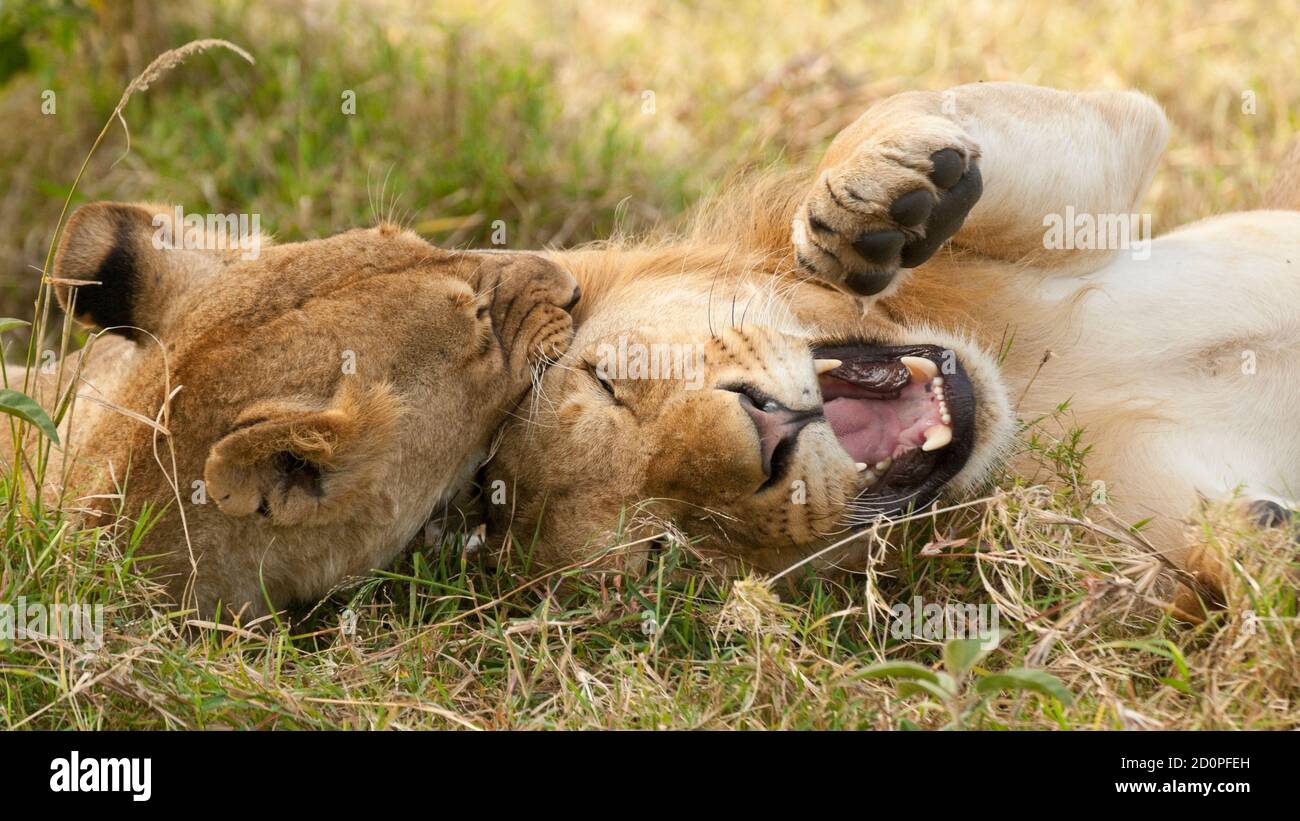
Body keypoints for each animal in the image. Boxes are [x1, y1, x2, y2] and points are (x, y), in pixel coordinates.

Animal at [485, 82, 1300, 614]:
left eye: (611, 382)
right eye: (670, 550)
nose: (765, 436)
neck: (1025, 390)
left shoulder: (1089, 182)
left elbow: (929, 106)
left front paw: (868, 197)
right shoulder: (1156, 543)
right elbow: (1237, 573)